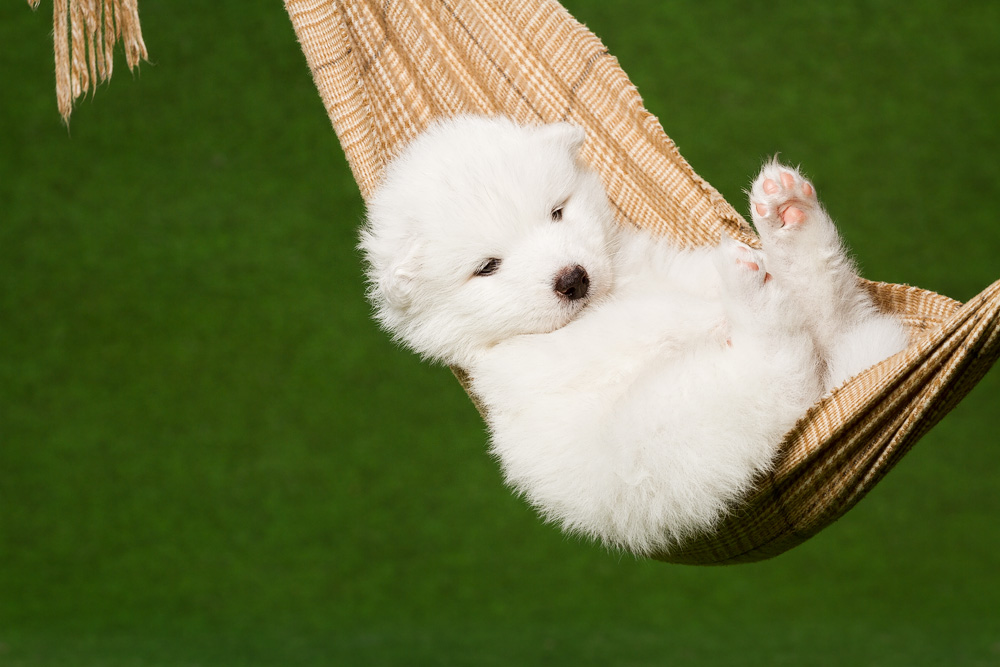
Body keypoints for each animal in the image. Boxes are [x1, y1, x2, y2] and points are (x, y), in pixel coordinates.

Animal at [358, 116, 908, 560]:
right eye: (487, 267)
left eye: (557, 212)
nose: (572, 279)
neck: (610, 295)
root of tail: (829, 380)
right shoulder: (550, 355)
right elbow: (652, 319)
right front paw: (708, 310)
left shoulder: (658, 264)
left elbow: (680, 287)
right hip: (674, 434)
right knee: (780, 363)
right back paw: (753, 291)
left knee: (830, 310)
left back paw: (789, 221)